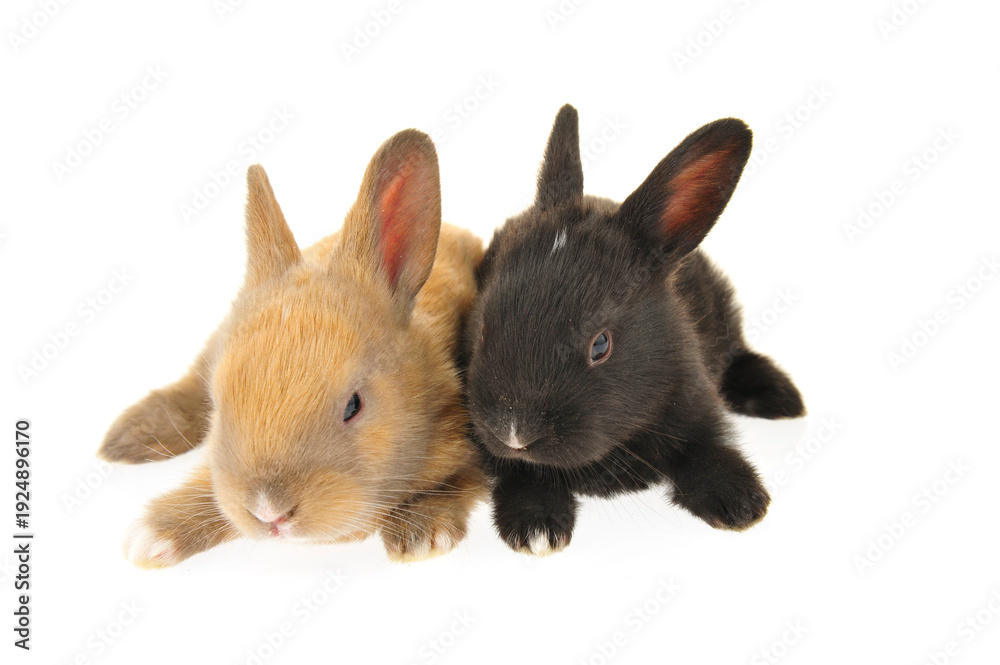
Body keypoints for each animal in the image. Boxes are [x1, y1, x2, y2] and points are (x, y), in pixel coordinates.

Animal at [98, 129, 487, 567]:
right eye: (220, 403)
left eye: (354, 406)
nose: (270, 512)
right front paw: (153, 536)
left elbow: (459, 481)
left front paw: (420, 534)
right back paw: (128, 437)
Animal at [464, 105, 805, 555]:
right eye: (484, 325)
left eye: (601, 345)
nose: (515, 434)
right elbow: (520, 473)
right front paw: (536, 528)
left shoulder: (697, 403)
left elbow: (709, 448)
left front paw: (740, 502)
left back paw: (782, 398)